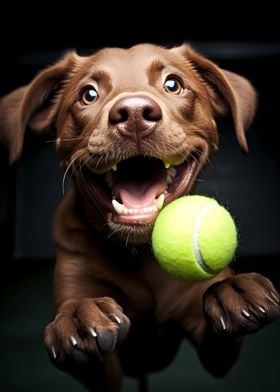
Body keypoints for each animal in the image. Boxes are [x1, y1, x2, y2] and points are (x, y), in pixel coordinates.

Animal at [1, 45, 278, 388]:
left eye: (173, 84)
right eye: (88, 94)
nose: (133, 114)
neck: (139, 253)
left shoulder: (214, 353)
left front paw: (232, 290)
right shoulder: (106, 369)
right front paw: (79, 316)